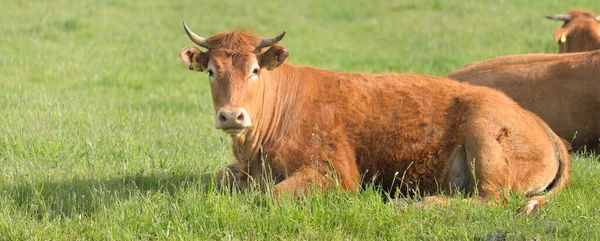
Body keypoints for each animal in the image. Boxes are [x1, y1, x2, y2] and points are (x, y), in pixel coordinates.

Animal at [179, 23, 572, 215]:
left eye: (256, 69)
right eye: (211, 71)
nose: (232, 115)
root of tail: (543, 126)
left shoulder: (335, 174)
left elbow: (272, 195)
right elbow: (222, 177)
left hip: (484, 136)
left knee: (490, 200)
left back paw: (415, 204)